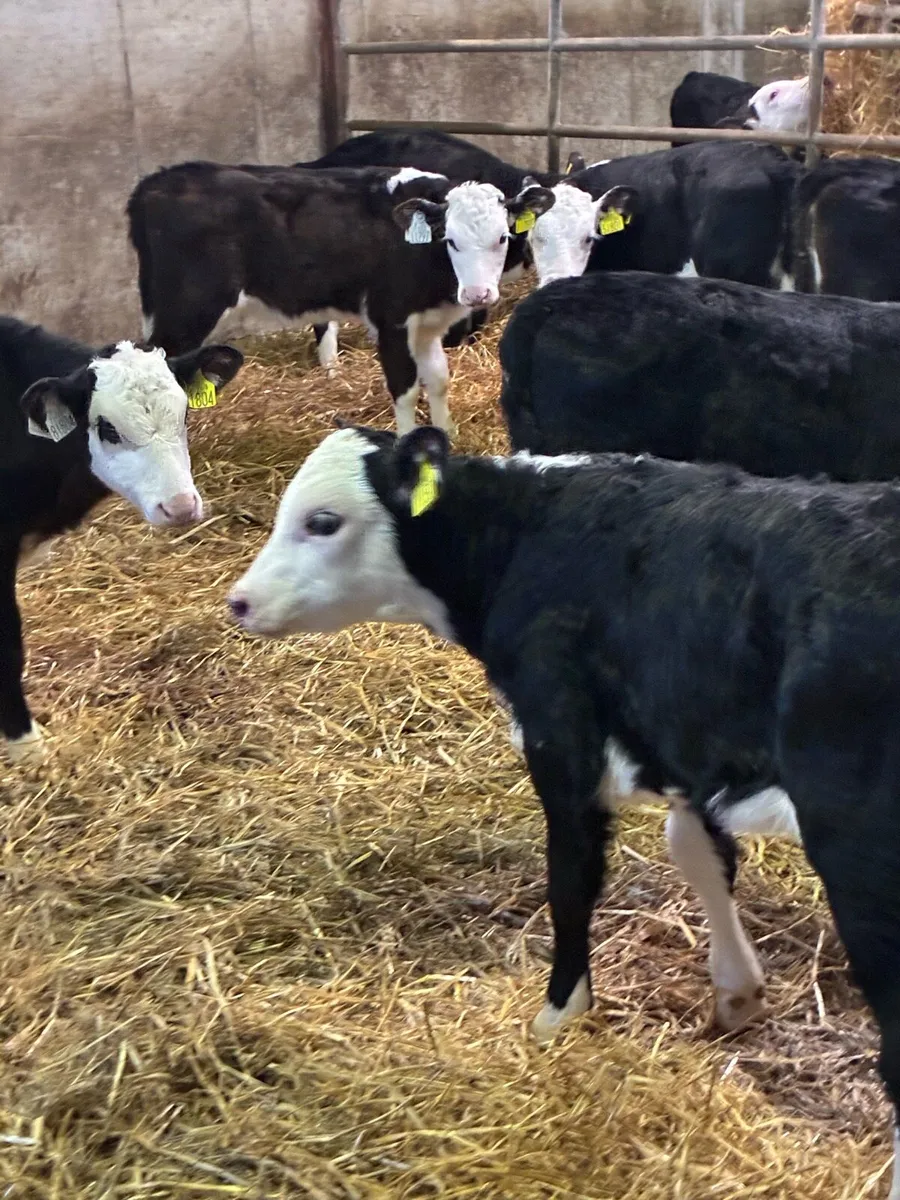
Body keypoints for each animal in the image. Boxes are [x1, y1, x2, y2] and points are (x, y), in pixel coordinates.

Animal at [127, 162, 555, 437]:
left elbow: (438, 380)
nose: (477, 293)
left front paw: (447, 435)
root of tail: (155, 181)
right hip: (185, 313)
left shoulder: (428, 324)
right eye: (451, 240)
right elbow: (406, 389)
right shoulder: (391, 319)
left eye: (502, 237)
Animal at [228, 423, 900, 1198]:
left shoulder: (560, 733)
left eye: (324, 521)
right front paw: (736, 992)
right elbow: (697, 849)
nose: (238, 603)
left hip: (861, 855)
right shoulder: (679, 733)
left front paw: (558, 1017)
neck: (526, 534)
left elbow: (571, 879)